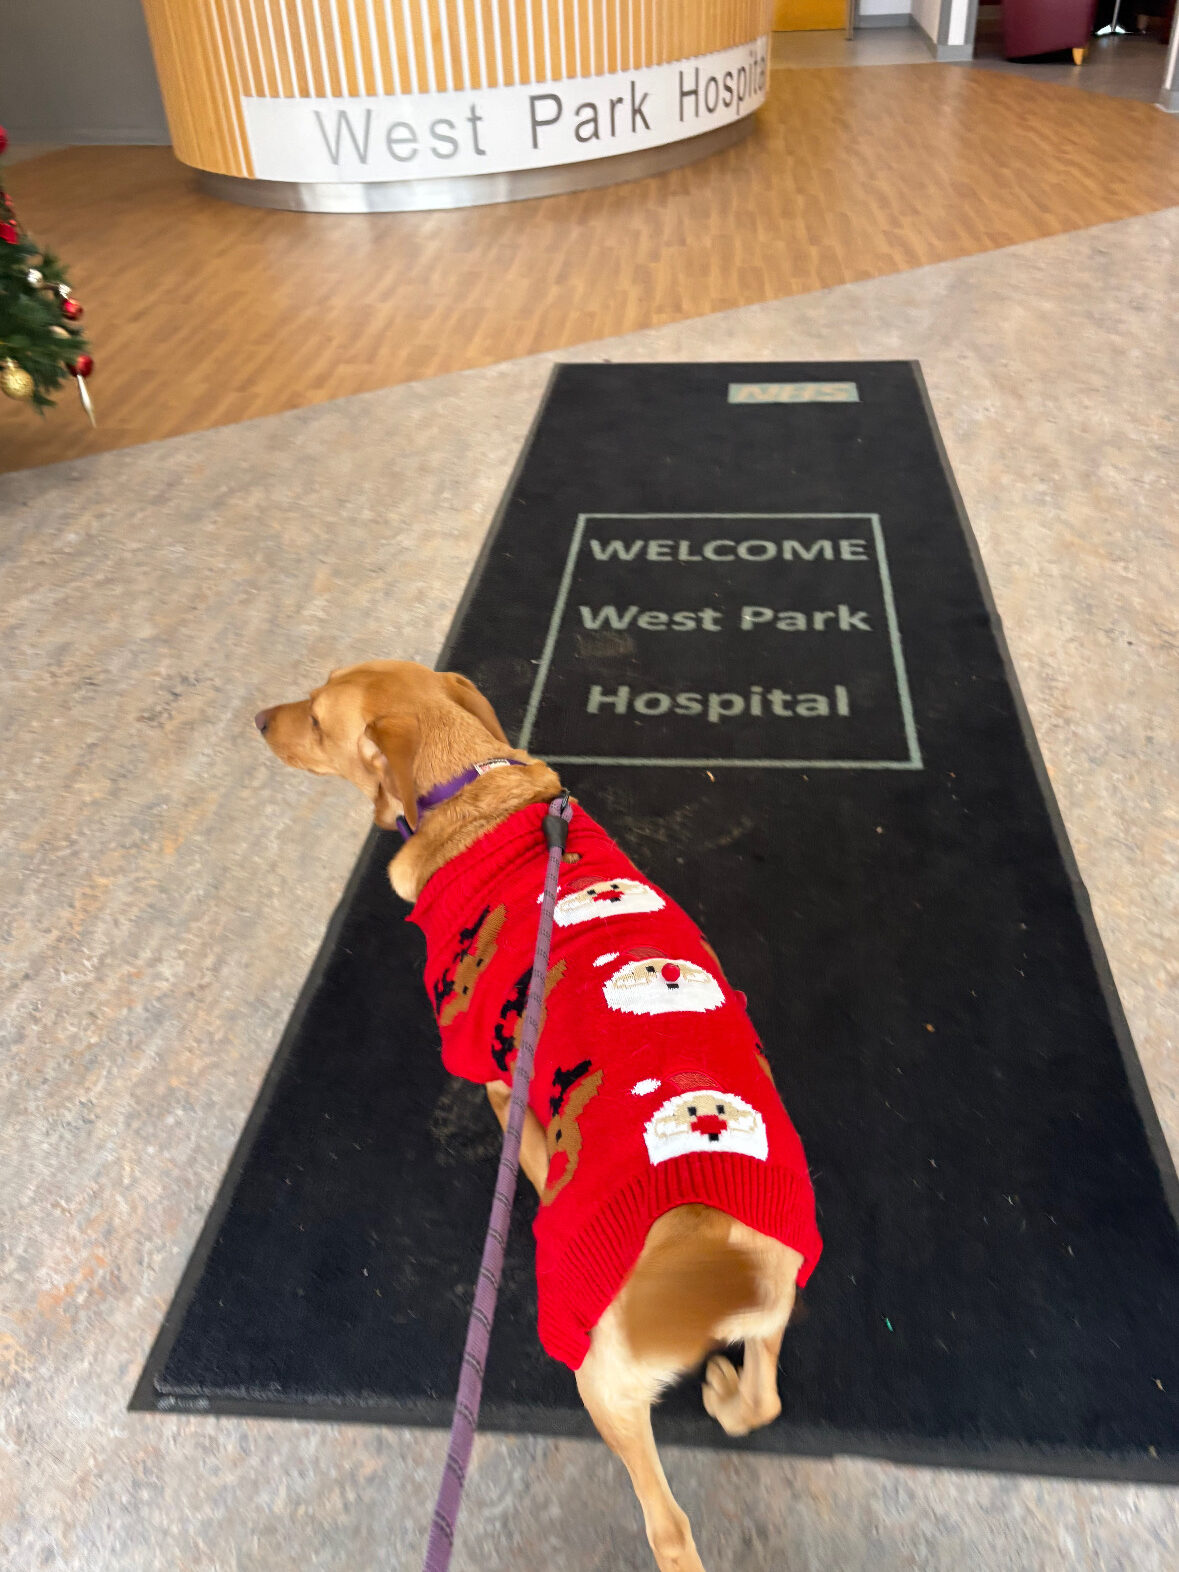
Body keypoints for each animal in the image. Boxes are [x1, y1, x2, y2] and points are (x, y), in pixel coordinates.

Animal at [257, 660, 823, 1572]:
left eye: (312, 718)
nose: (257, 721)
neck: (470, 790)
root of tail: (701, 1235)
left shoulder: (493, 1074)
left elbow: (515, 1137)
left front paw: (533, 1172)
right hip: (774, 1292)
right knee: (764, 1395)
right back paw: (731, 1390)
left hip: (601, 1378)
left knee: (669, 1529)